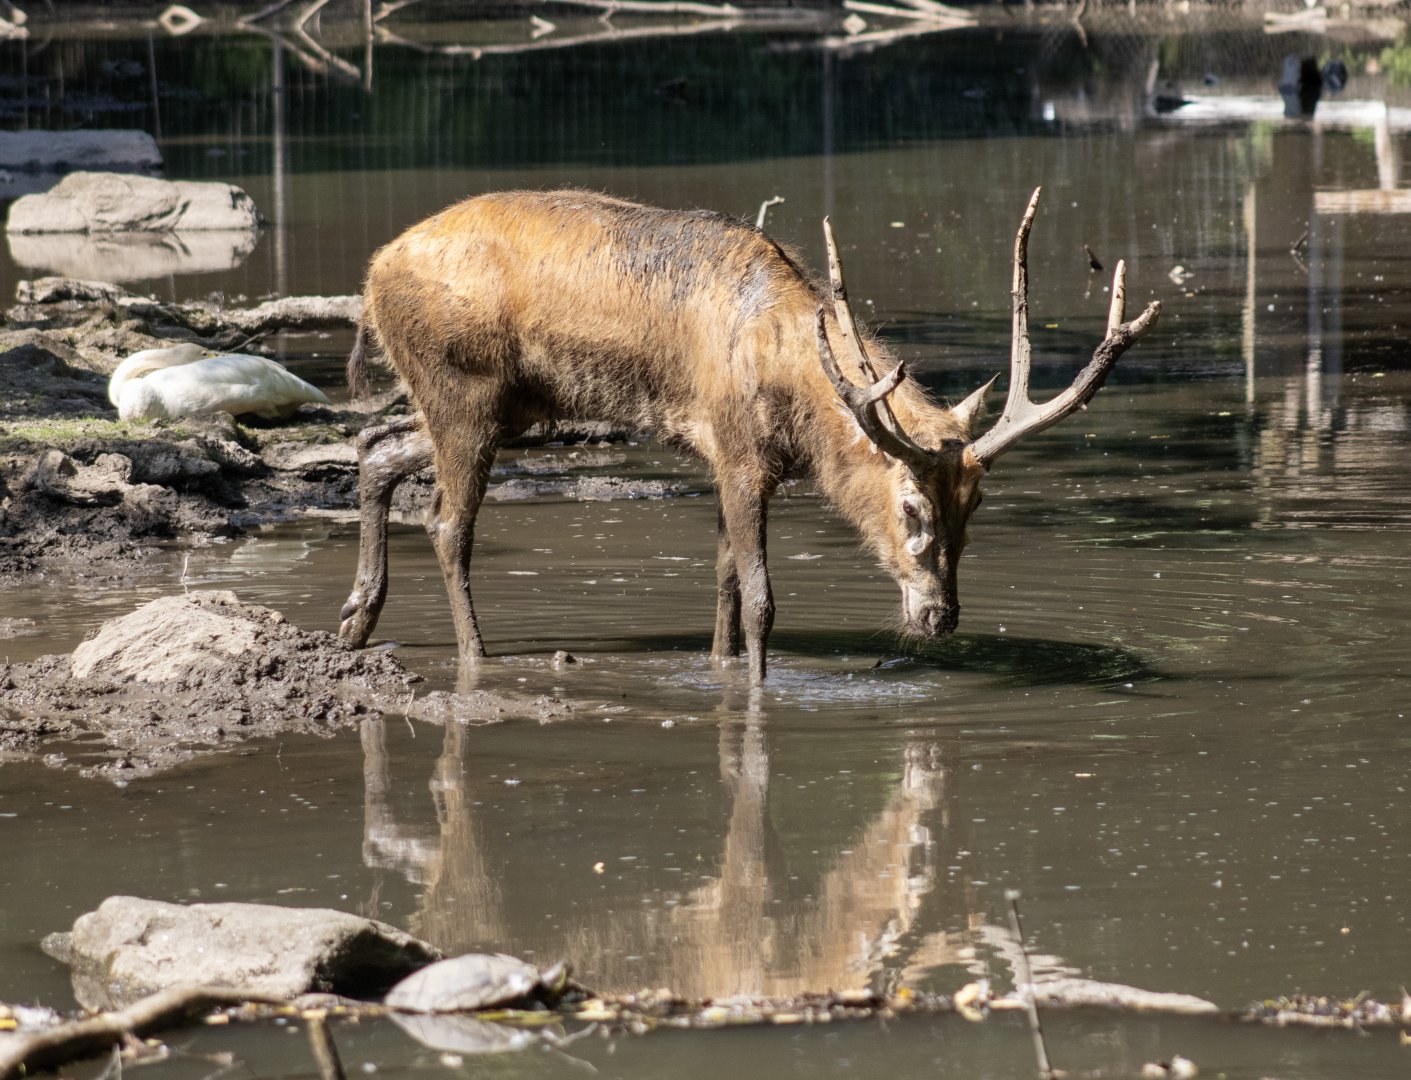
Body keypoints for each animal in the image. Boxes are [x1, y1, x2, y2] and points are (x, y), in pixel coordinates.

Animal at [337, 188, 1160, 684]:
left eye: (974, 508)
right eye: (911, 509)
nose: (940, 617)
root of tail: (371, 276)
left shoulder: (727, 458)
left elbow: (725, 579)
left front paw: (719, 668)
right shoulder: (736, 450)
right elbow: (761, 597)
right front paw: (760, 689)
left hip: (507, 405)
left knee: (376, 449)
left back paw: (355, 620)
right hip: (465, 391)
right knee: (446, 524)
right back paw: (476, 657)